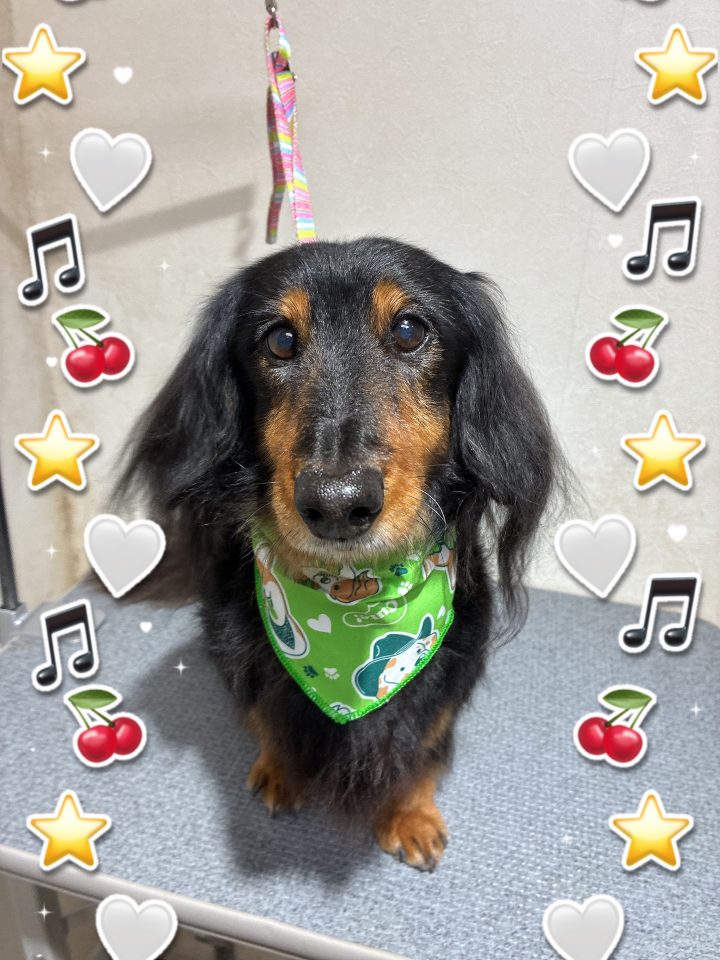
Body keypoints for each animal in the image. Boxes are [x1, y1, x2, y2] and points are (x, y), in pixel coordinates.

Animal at [120, 237, 559, 870]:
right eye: (279, 340)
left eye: (409, 330)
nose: (336, 504)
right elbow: (268, 717)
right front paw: (281, 771)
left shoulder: (454, 658)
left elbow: (424, 737)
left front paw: (410, 812)